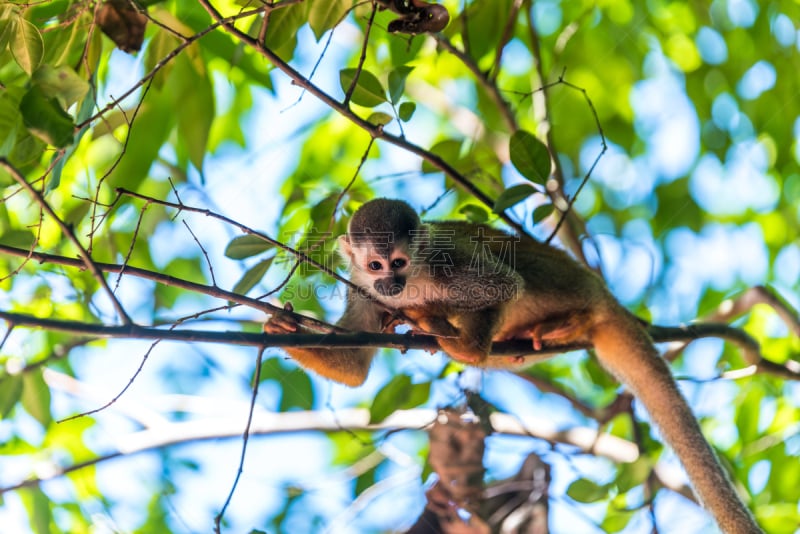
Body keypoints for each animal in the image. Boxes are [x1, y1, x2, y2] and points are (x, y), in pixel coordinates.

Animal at [264, 199, 764, 532]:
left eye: (399, 261)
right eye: (374, 265)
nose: (391, 283)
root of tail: (603, 294)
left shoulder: (446, 261)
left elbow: (502, 285)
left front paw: (431, 316)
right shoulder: (362, 291)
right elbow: (353, 367)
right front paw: (284, 327)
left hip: (572, 286)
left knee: (518, 273)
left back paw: (469, 341)